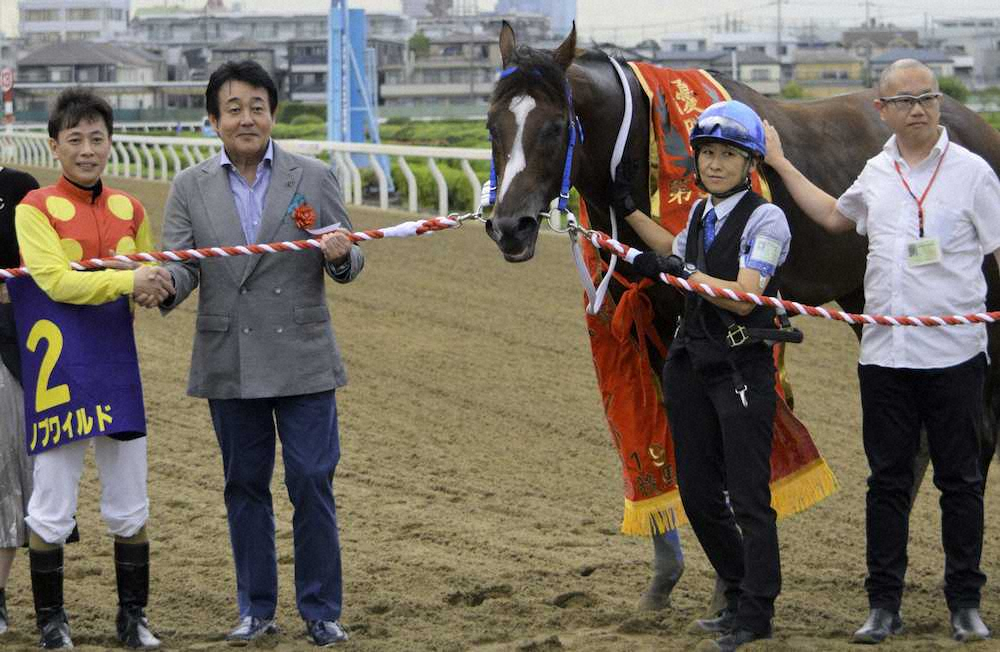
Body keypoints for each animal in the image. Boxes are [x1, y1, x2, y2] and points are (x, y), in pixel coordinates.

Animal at [486, 19, 1000, 612]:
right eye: (492, 124)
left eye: (552, 127)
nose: (510, 227)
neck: (641, 145)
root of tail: (975, 128)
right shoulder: (647, 315)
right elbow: (675, 439)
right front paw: (664, 580)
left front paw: (730, 590)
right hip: (870, 302)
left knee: (979, 429)